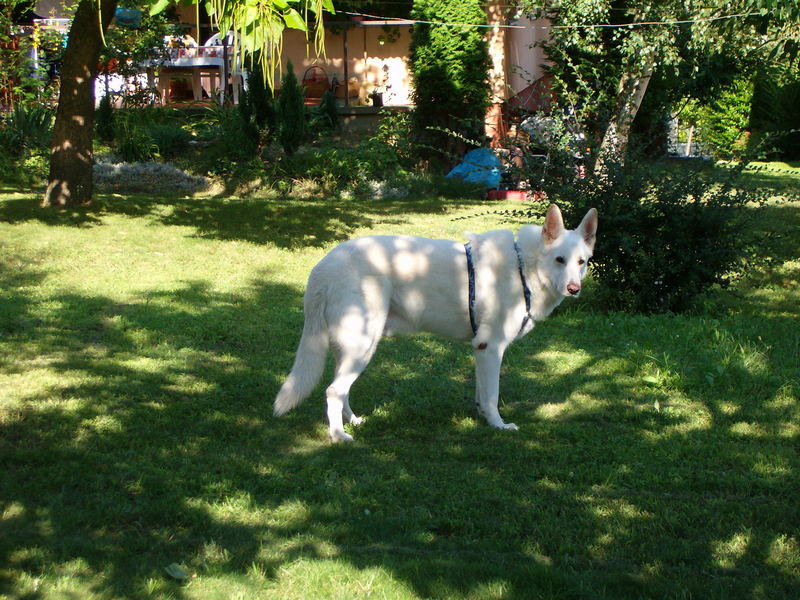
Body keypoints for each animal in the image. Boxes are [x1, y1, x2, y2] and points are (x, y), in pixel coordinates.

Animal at [274, 204, 592, 442]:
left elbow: (482, 393)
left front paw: (483, 418)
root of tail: (323, 267)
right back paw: (339, 436)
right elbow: (492, 396)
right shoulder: (491, 348)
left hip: (353, 347)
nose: (574, 289)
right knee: (333, 391)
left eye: (582, 262)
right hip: (362, 345)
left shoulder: (480, 351)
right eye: (559, 259)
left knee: (342, 389)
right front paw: (499, 426)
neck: (524, 267)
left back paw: (353, 421)